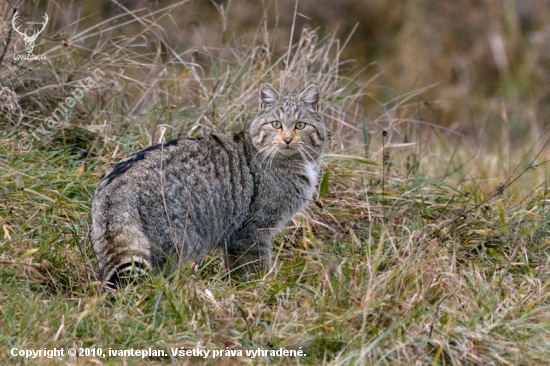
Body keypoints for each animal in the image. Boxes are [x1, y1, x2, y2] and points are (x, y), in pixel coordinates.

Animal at [92, 82, 328, 286]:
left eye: (300, 125)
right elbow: (255, 267)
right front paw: (260, 287)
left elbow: (234, 268)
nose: (287, 139)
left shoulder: (234, 236)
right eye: (276, 124)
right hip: (173, 242)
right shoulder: (251, 231)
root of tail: (114, 186)